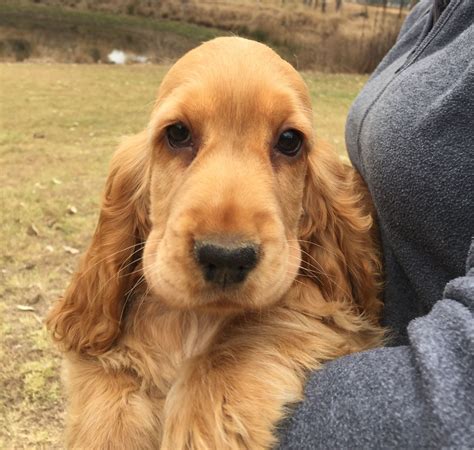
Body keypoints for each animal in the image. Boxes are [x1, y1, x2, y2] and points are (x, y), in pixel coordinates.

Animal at [47, 37, 386, 450]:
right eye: (177, 133)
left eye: (290, 141)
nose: (226, 257)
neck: (195, 318)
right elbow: (109, 387)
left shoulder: (337, 318)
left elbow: (256, 329)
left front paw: (203, 423)